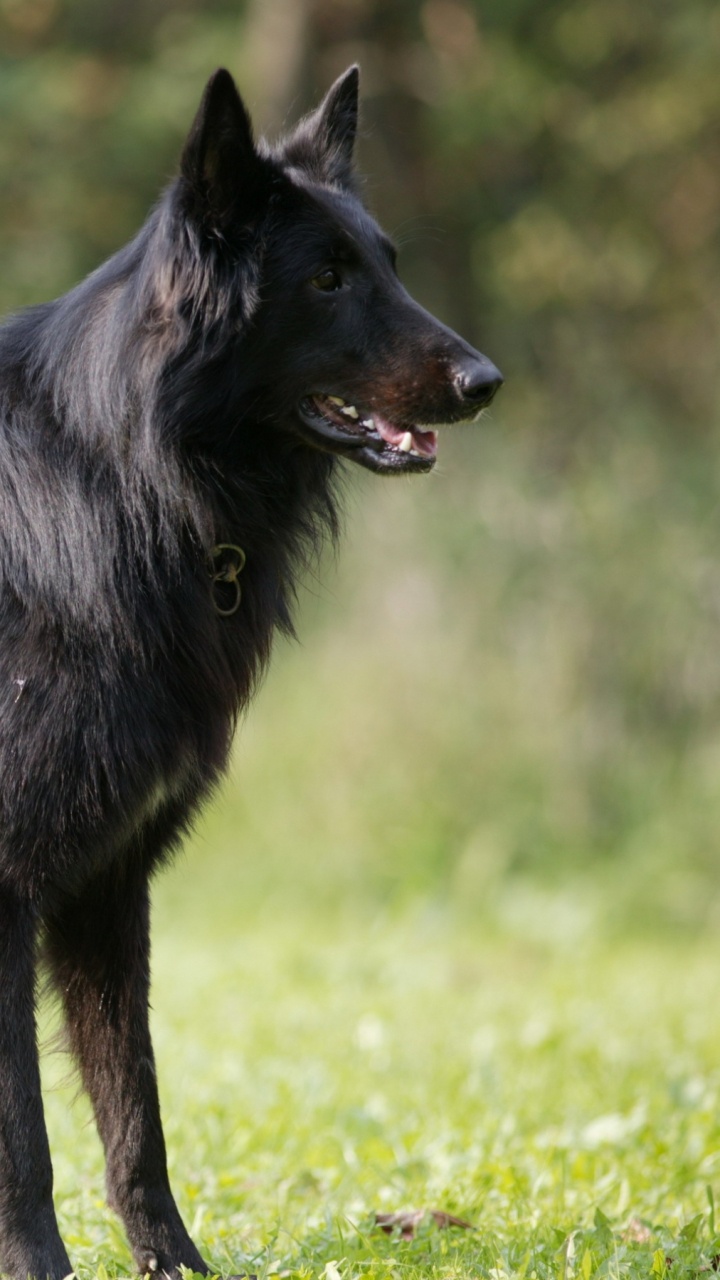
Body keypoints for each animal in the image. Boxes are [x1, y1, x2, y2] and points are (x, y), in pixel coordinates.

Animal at [0, 66, 502, 1278]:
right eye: (324, 279)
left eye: (388, 263)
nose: (487, 380)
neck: (125, 473)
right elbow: (26, 1133)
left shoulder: (107, 880)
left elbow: (135, 1107)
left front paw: (174, 1263)